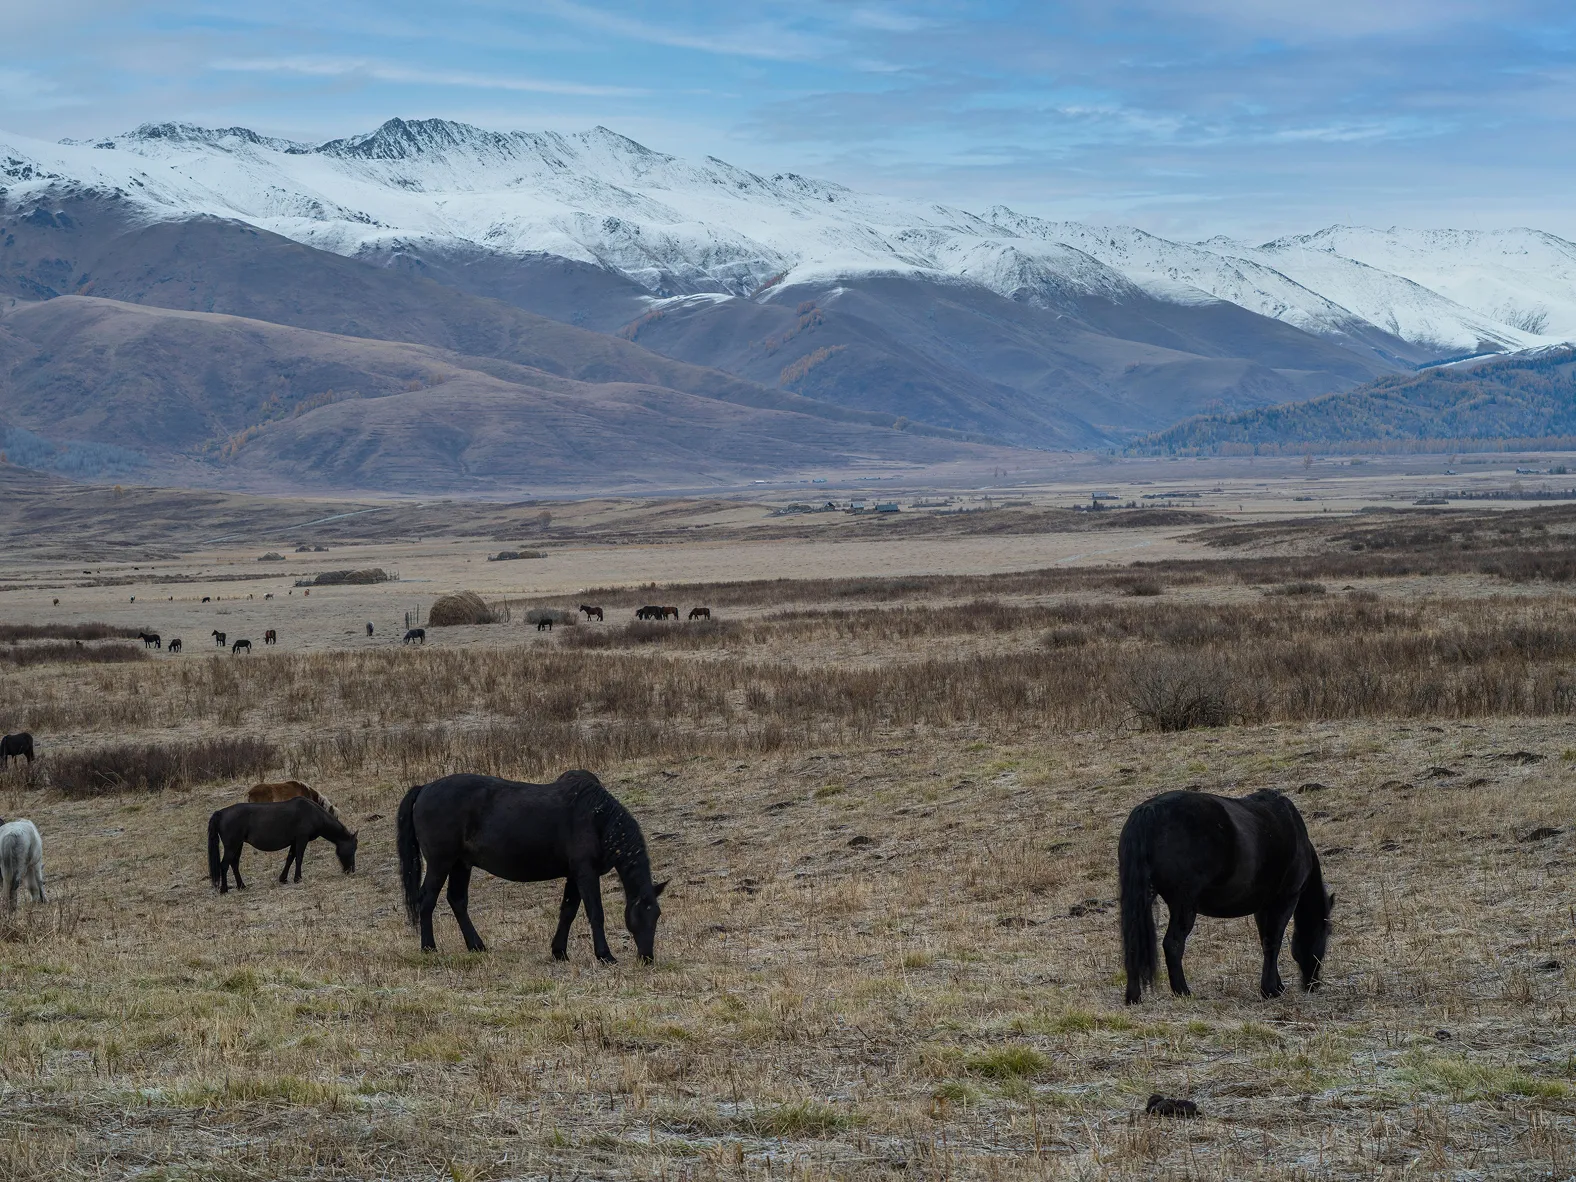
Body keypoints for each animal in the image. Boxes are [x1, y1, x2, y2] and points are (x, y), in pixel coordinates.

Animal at [208, 798, 357, 893]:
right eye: (353, 849)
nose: (351, 870)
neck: (313, 813)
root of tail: (220, 813)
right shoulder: (301, 839)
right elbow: (299, 858)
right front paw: (298, 878)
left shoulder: (294, 841)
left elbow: (290, 858)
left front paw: (283, 878)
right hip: (232, 846)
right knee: (224, 865)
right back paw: (224, 889)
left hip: (238, 845)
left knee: (234, 864)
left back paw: (241, 886)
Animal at [397, 771, 668, 962]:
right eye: (640, 914)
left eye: (656, 914)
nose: (647, 957)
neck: (596, 818)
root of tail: (424, 788)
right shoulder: (586, 873)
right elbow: (595, 913)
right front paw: (605, 955)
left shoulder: (574, 875)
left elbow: (568, 911)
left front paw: (559, 952)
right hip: (440, 863)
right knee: (427, 900)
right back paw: (429, 948)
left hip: (460, 864)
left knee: (457, 901)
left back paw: (477, 946)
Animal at [1119, 789, 1332, 1004]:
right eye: (1326, 933)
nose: (1312, 984)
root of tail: (1149, 811)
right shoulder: (1286, 899)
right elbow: (1273, 941)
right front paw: (1270, 990)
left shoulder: (1263, 907)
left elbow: (1265, 939)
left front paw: (1276, 986)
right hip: (1183, 905)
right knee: (1173, 944)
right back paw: (1183, 992)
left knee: (1133, 946)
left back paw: (1134, 996)